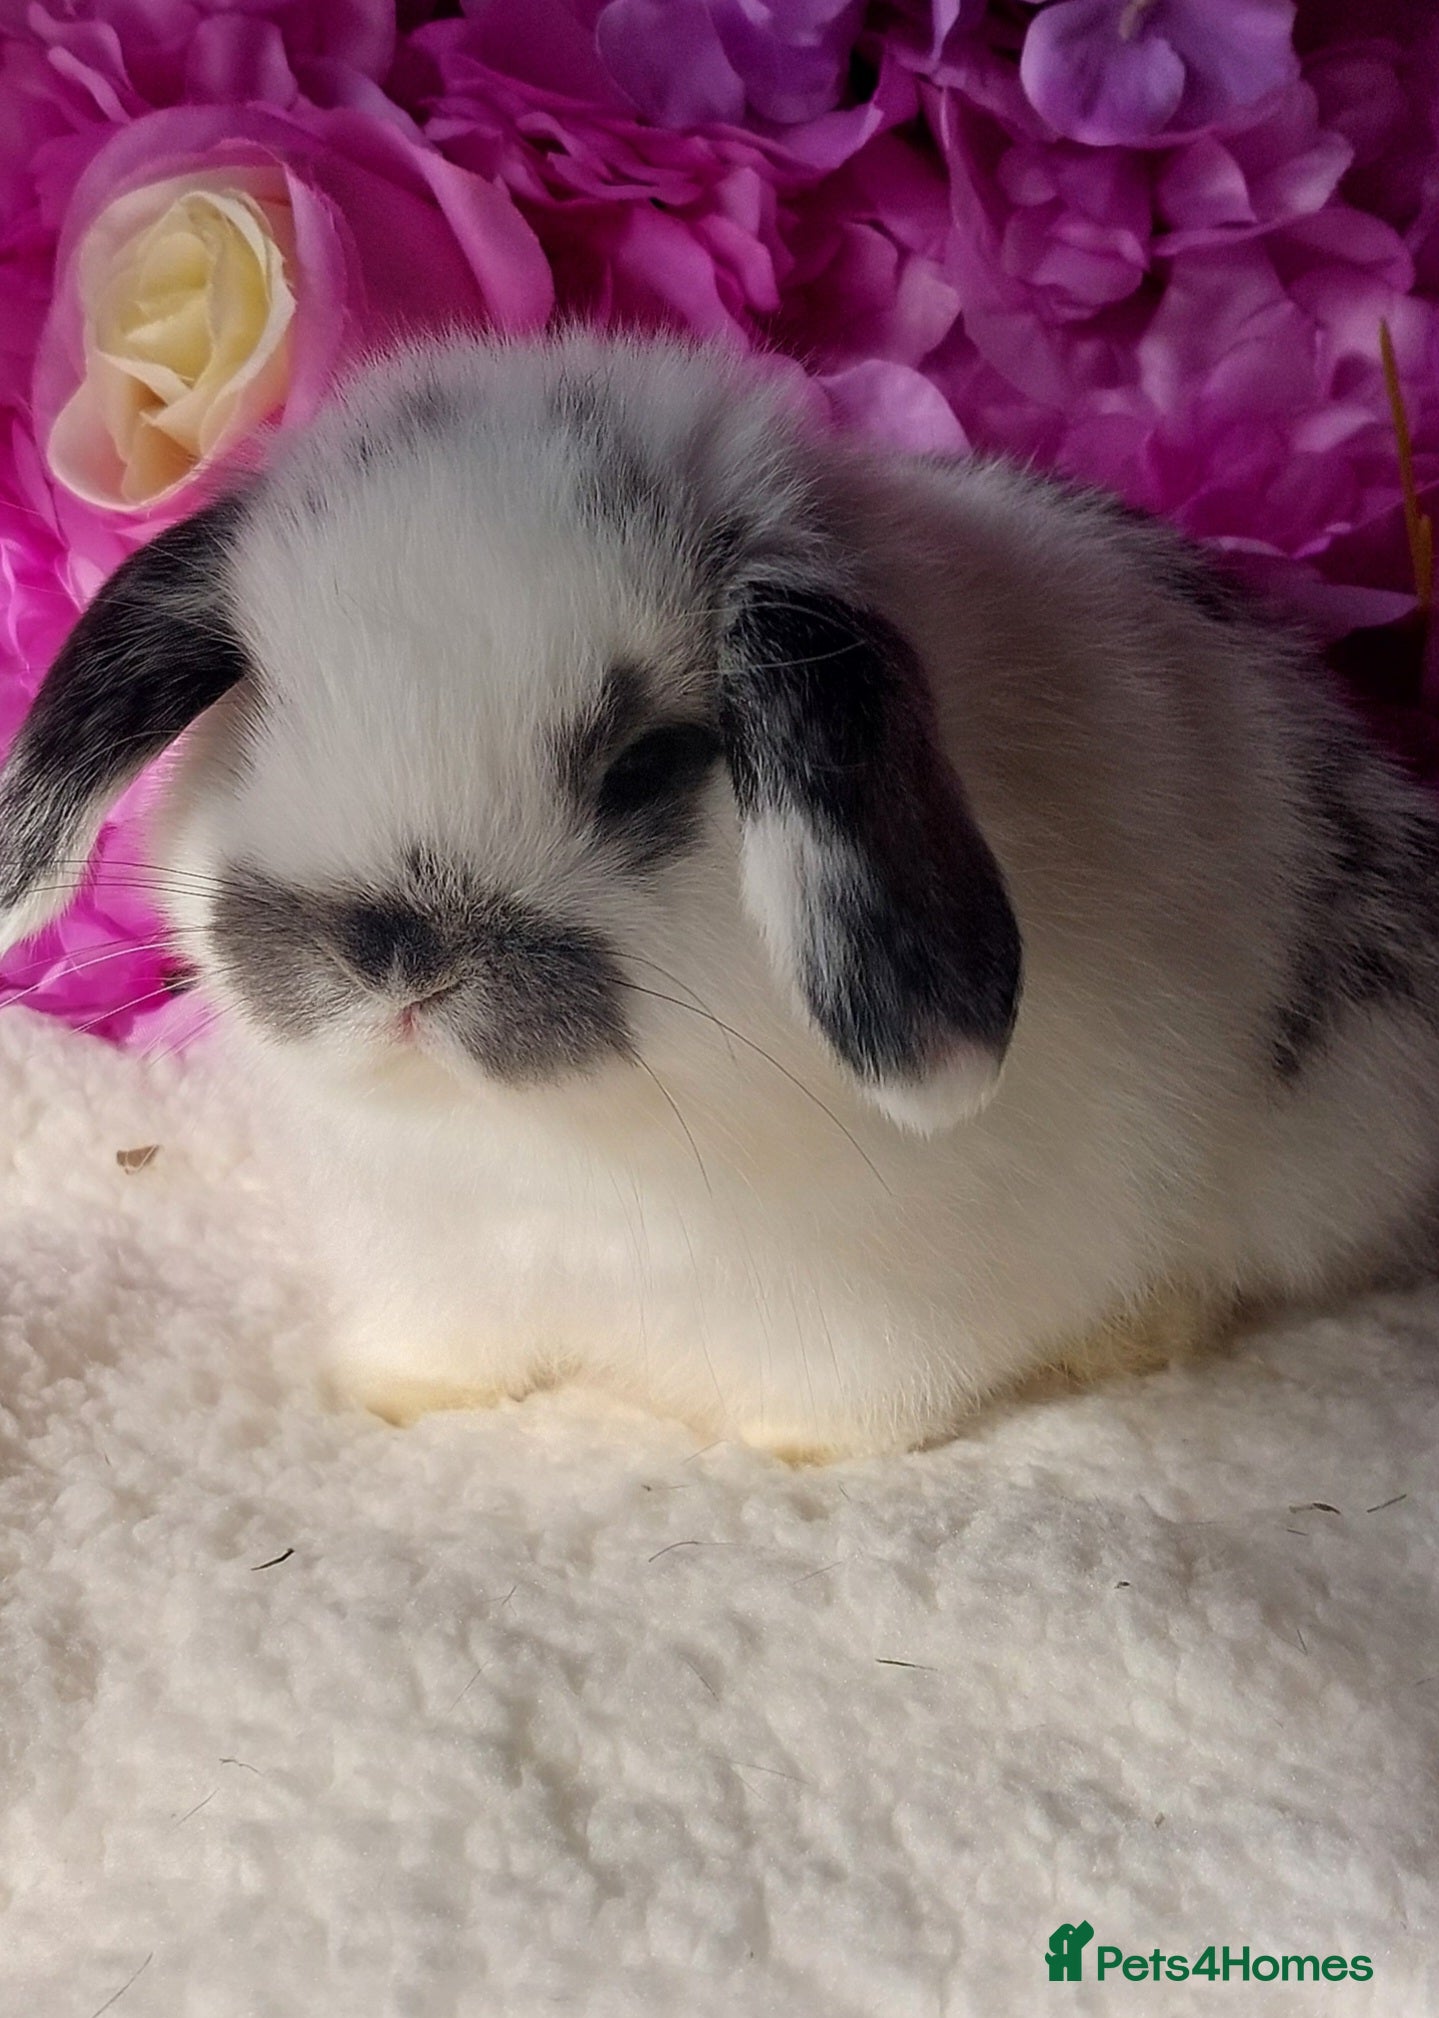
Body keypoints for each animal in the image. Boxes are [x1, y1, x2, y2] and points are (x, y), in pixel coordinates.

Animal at [4, 329, 1439, 1460]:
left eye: (648, 764)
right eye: (262, 697)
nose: (395, 953)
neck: (558, 1143)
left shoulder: (878, 1297)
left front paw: (790, 1446)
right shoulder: (431, 1250)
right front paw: (397, 1396)